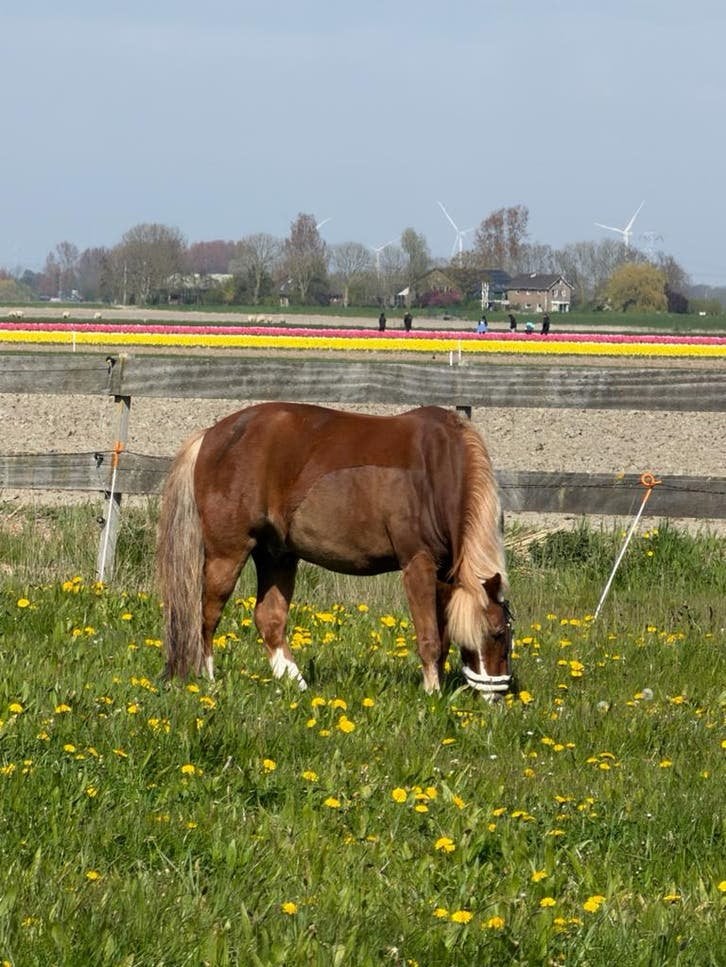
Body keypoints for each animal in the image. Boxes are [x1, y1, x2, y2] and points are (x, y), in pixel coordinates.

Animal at [156, 402, 513, 700]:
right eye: (496, 633)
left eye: (508, 633)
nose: (495, 697)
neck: (437, 471)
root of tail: (211, 435)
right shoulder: (417, 564)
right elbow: (429, 638)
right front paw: (432, 695)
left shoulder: (444, 573)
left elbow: (443, 636)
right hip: (227, 552)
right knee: (207, 615)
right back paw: (208, 680)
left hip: (277, 555)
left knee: (269, 619)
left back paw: (297, 685)